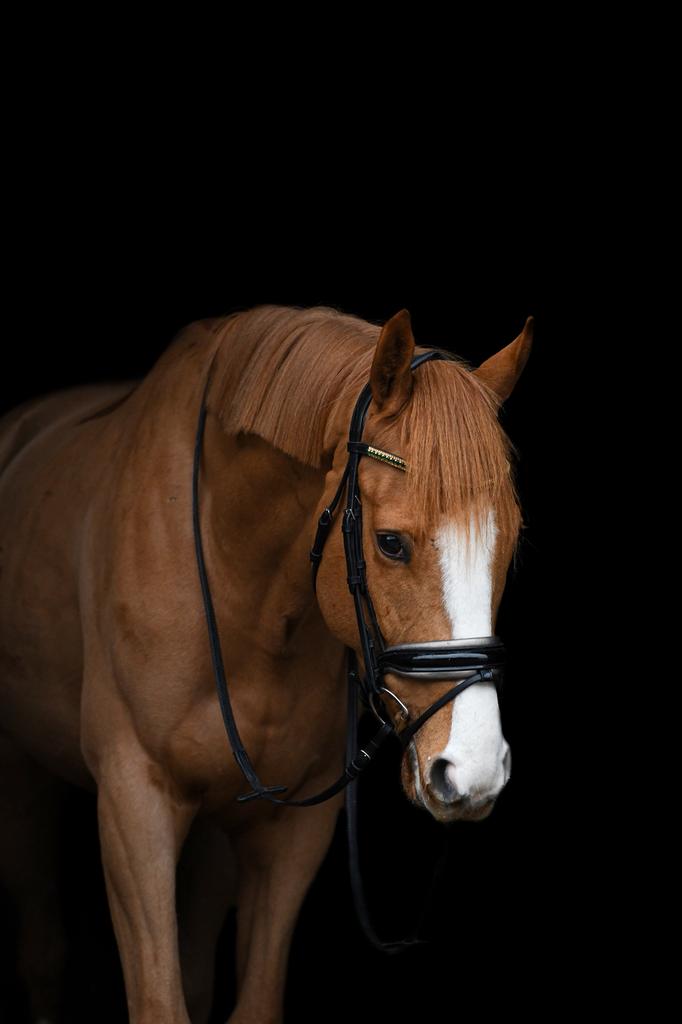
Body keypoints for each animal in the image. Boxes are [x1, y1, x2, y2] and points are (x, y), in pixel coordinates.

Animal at [0, 303, 532, 1023]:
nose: (472, 770)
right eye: (391, 543)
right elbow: (160, 1001)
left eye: (511, 539)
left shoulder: (294, 829)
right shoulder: (134, 802)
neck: (232, 574)